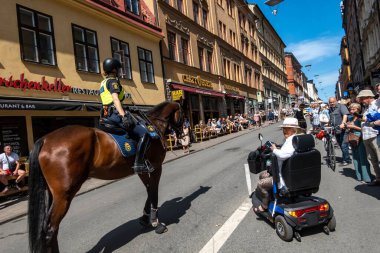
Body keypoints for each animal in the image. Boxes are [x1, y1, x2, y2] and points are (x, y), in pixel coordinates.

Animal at [27, 101, 183, 253]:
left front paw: (145, 218)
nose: (182, 132)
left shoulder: (143, 171)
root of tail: (45, 139)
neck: (153, 125)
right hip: (64, 195)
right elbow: (154, 192)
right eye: (182, 112)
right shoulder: (157, 167)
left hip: (52, 194)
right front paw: (156, 222)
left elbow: (149, 191)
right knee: (50, 230)